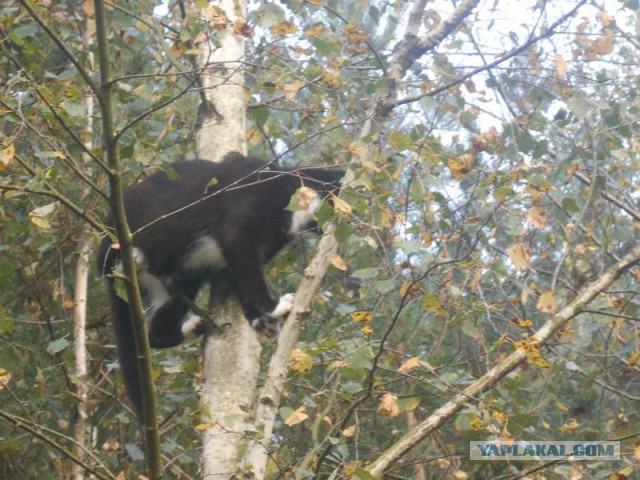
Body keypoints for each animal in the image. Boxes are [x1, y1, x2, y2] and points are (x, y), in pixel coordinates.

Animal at [97, 154, 342, 416]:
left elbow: (242, 281)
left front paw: (260, 321)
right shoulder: (243, 222)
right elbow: (248, 270)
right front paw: (274, 307)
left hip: (179, 282)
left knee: (156, 330)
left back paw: (192, 327)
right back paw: (134, 256)